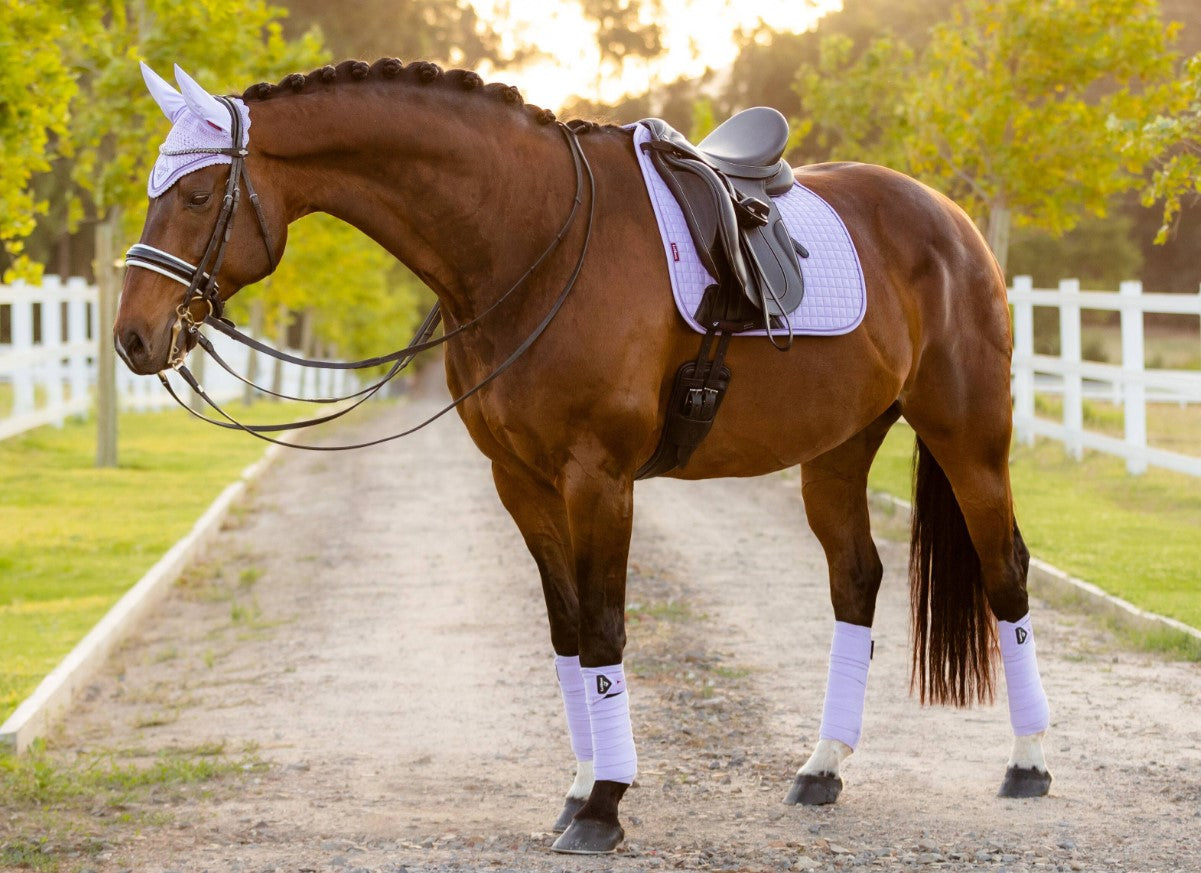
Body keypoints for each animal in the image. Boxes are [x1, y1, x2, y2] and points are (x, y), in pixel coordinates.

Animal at [115, 59, 1053, 855]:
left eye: (196, 192)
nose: (133, 336)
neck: (531, 241)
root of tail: (949, 217)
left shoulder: (597, 478)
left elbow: (603, 629)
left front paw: (604, 807)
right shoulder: (521, 480)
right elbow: (567, 631)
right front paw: (577, 789)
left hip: (969, 436)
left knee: (1004, 572)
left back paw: (1028, 762)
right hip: (835, 452)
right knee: (855, 581)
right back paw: (821, 767)